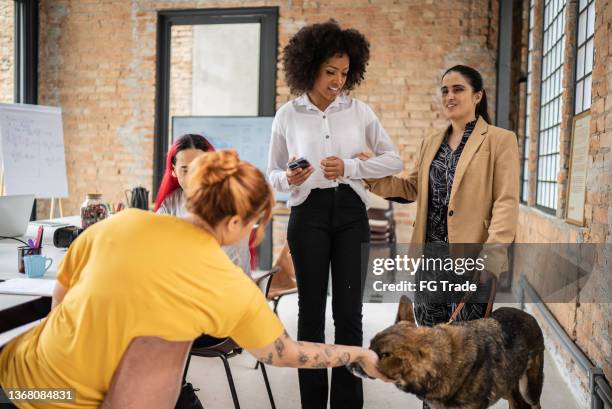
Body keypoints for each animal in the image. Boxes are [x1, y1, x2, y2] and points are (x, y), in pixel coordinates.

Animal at [350, 296, 544, 408]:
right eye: (369, 346)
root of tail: (528, 315)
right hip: (508, 387)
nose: (349, 364)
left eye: (377, 356)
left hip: (530, 390)